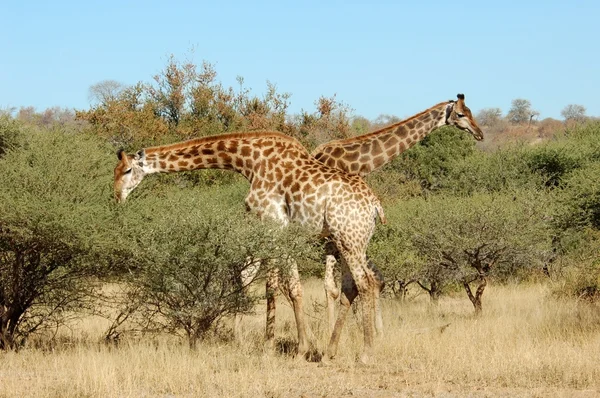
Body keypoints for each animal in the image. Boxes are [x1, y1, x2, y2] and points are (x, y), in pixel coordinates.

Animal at [112, 131, 384, 364]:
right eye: (115, 171)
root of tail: (375, 206)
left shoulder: (273, 223)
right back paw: (330, 353)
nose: (117, 197)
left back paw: (366, 354)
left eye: (127, 170)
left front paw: (291, 349)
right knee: (352, 287)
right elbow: (290, 287)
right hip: (350, 241)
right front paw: (299, 348)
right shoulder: (282, 229)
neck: (248, 162)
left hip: (349, 240)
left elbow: (282, 287)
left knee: (366, 283)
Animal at [312, 95, 486, 334]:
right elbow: (347, 284)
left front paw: (376, 332)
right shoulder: (339, 231)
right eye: (460, 114)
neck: (357, 163)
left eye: (470, 111)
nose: (480, 133)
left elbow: (374, 280)